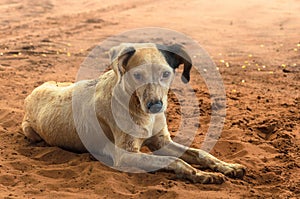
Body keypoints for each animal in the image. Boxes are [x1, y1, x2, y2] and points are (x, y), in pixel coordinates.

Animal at [21, 42, 246, 184]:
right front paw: (200, 175)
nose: (155, 106)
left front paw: (228, 167)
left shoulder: (161, 141)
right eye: (137, 75)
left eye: (166, 74)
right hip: (30, 131)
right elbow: (174, 160)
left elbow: (201, 153)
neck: (138, 107)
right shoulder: (126, 155)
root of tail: (32, 92)